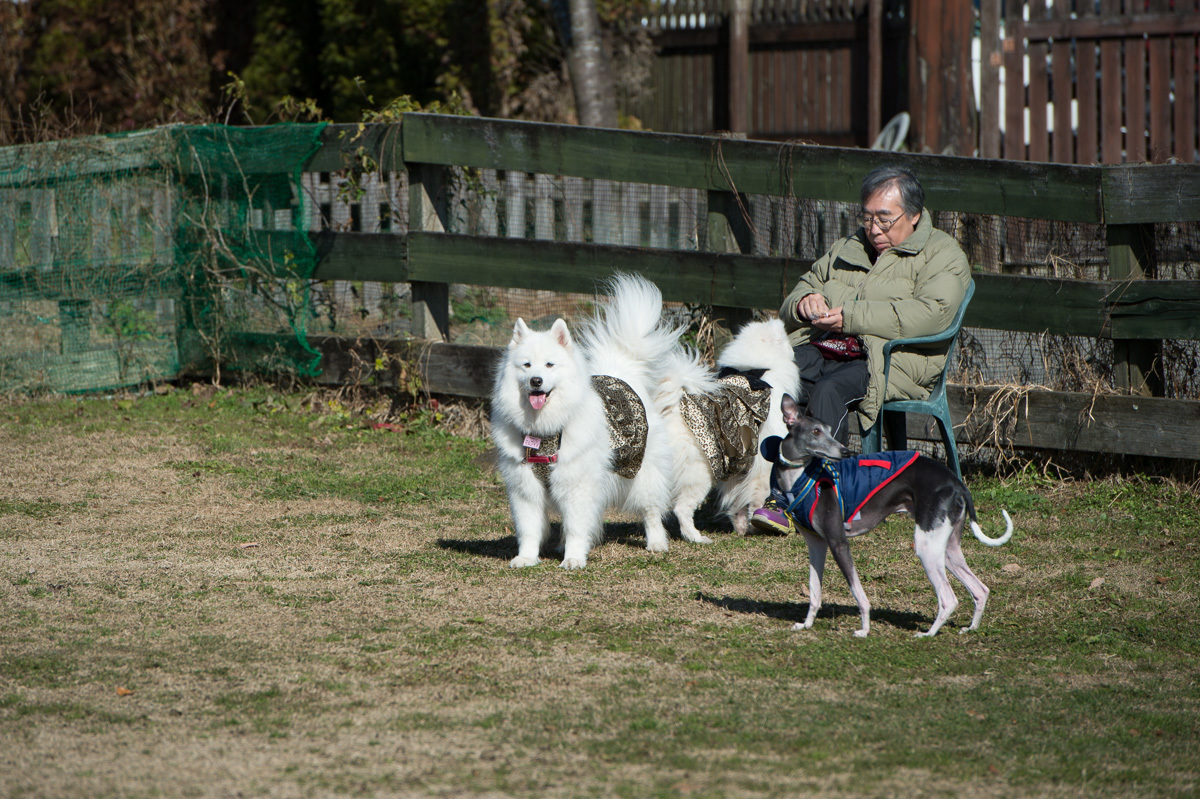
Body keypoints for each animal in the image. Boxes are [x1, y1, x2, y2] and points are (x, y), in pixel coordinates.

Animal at [487, 272, 696, 566]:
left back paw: (656, 543)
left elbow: (576, 527)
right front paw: (526, 558)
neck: (545, 430)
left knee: (651, 511)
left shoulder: (577, 486)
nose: (536, 381)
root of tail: (622, 372)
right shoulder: (525, 489)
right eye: (526, 365)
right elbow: (529, 530)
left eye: (549, 364)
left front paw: (574, 560)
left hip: (644, 476)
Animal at [657, 316, 796, 535]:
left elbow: (737, 499)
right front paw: (756, 521)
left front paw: (741, 526)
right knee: (681, 508)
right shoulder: (761, 465)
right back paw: (695, 537)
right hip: (700, 474)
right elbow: (758, 496)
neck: (754, 370)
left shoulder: (738, 463)